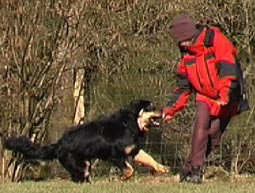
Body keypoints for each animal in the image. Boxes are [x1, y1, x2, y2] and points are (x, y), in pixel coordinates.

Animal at [4, 100, 168, 183]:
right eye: (150, 107)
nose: (163, 111)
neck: (128, 123)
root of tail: (59, 144)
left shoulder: (134, 150)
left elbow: (149, 158)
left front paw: (162, 168)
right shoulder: (115, 156)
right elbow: (129, 169)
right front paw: (123, 177)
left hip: (85, 163)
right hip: (79, 164)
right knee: (79, 178)